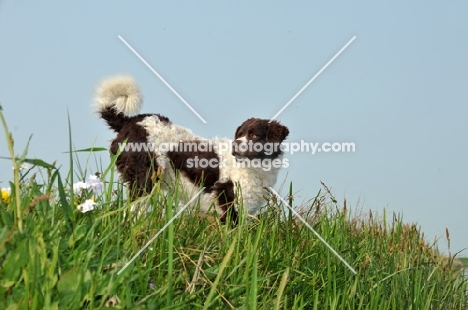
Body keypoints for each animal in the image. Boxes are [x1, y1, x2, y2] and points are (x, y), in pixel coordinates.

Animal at [93, 74, 288, 222]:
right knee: (132, 212)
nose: (235, 145)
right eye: (239, 134)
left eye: (254, 135)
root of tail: (129, 121)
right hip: (145, 179)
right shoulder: (229, 205)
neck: (251, 167)